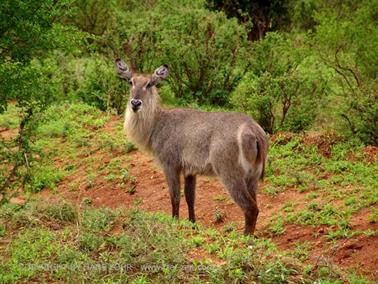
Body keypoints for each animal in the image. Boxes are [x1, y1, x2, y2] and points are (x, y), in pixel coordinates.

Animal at [115, 58, 268, 234]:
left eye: (149, 84)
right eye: (130, 82)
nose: (135, 103)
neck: (157, 124)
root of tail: (253, 129)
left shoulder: (170, 165)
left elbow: (174, 196)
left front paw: (174, 222)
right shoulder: (190, 171)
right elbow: (190, 197)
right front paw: (192, 223)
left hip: (230, 174)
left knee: (250, 208)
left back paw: (245, 237)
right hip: (253, 176)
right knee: (255, 205)